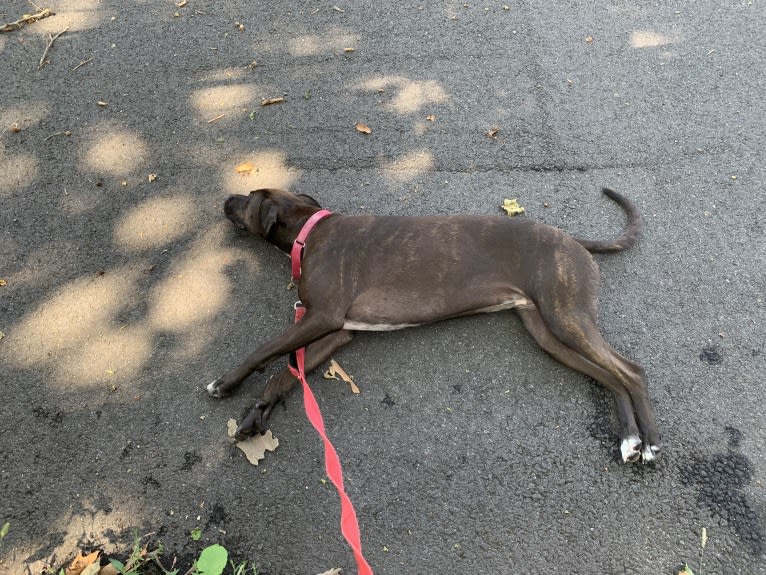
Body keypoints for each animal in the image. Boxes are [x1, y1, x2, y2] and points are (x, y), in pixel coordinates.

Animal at [208, 188, 660, 464]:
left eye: (247, 198)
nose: (226, 197)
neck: (309, 231)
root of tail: (574, 241)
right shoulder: (335, 331)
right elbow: (286, 373)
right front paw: (256, 414)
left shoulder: (322, 318)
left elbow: (265, 350)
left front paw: (226, 383)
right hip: (548, 333)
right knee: (611, 377)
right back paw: (630, 440)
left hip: (566, 317)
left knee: (632, 371)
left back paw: (651, 442)